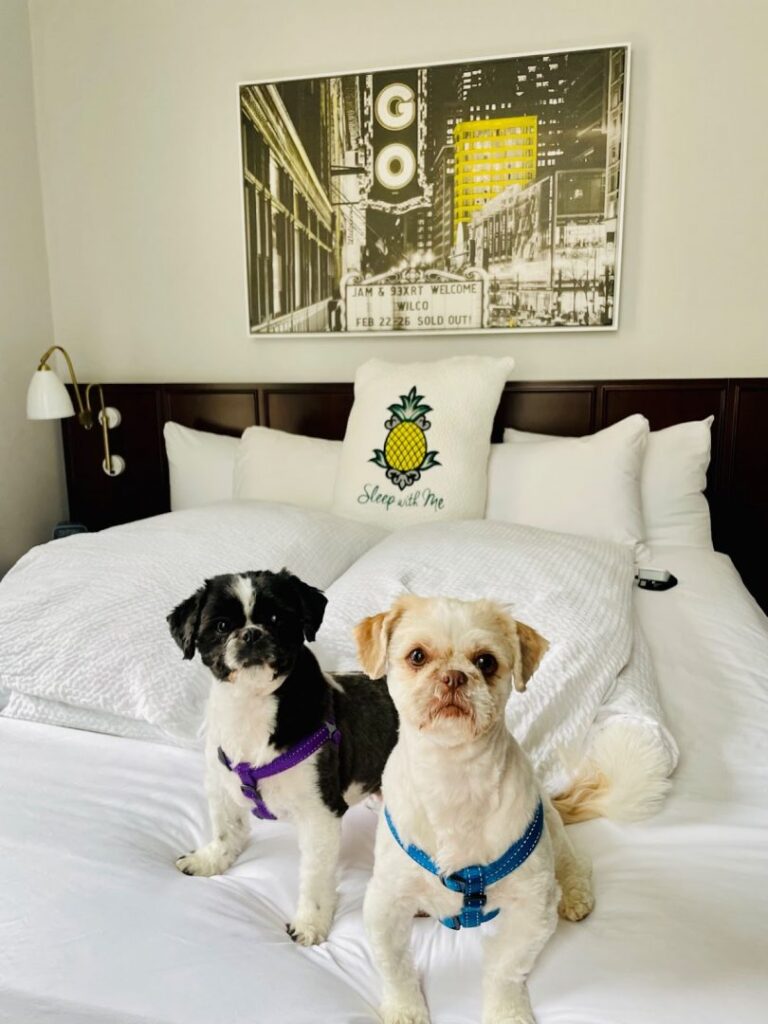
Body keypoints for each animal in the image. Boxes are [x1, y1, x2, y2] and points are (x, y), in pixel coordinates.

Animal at [166, 569, 397, 942]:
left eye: (277, 619)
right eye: (221, 625)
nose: (250, 633)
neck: (251, 707)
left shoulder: (321, 816)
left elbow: (314, 878)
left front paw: (310, 923)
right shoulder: (221, 788)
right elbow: (226, 830)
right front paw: (211, 859)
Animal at [354, 593, 593, 1024]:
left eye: (486, 661)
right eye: (417, 656)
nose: (453, 676)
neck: (453, 782)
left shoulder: (533, 908)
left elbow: (506, 970)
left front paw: (507, 1012)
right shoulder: (384, 902)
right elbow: (394, 967)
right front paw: (404, 1008)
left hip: (550, 827)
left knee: (569, 859)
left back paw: (575, 892)